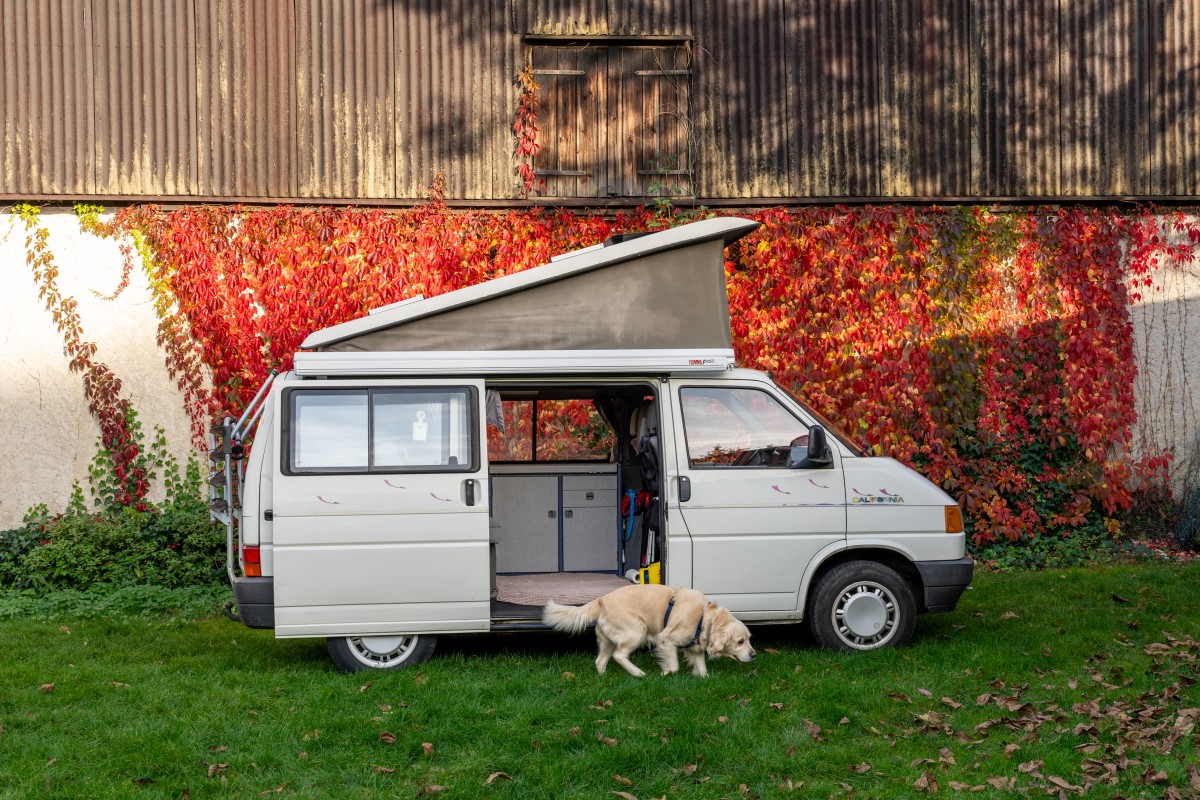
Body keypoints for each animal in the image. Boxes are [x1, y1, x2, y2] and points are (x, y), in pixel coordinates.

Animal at [542, 582, 753, 676]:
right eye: (740, 641)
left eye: (749, 639)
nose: (754, 655)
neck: (704, 617)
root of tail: (601, 600)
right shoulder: (665, 639)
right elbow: (674, 666)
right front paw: (665, 673)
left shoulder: (695, 648)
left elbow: (702, 669)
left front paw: (703, 677)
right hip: (637, 630)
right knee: (619, 655)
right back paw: (638, 673)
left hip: (608, 640)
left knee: (600, 660)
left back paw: (604, 676)